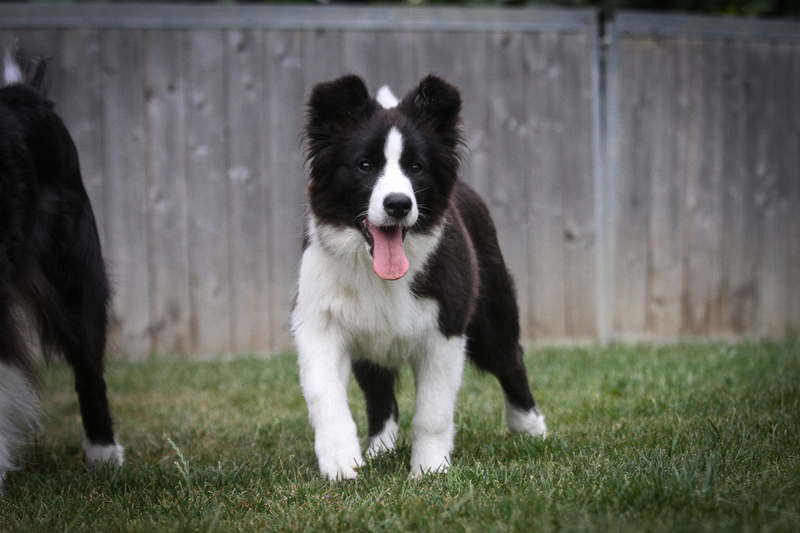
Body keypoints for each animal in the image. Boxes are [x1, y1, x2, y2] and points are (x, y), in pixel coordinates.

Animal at [291, 74, 547, 480]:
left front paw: (429, 470)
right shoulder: (318, 321)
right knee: (379, 393)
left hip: (491, 312)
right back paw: (380, 447)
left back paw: (531, 427)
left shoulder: (445, 328)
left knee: (510, 360)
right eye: (364, 165)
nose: (398, 204)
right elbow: (325, 396)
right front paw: (341, 464)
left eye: (416, 168)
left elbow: (433, 411)